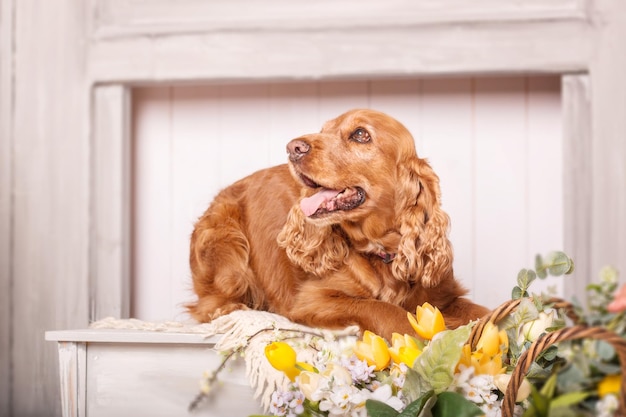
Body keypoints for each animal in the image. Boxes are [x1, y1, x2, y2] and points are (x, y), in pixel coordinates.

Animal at [185, 107, 488, 338]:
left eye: (360, 134)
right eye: (324, 130)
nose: (293, 148)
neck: (382, 252)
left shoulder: (444, 295)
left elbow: (482, 312)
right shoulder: (312, 299)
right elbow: (381, 308)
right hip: (228, 248)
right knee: (210, 303)